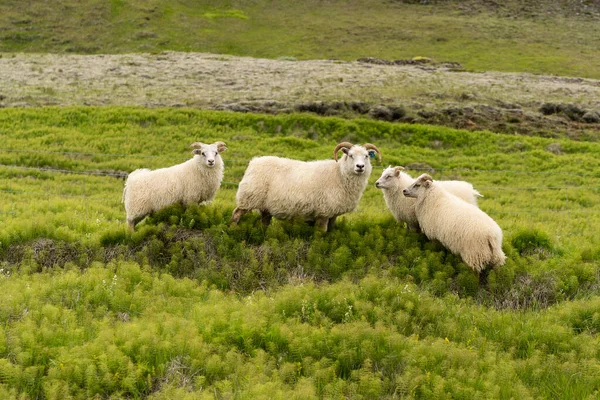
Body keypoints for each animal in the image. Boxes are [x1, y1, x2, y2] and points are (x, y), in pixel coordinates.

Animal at [230, 141, 380, 231]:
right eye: (350, 155)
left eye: (366, 156)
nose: (360, 166)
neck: (339, 174)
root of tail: (254, 162)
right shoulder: (324, 211)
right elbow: (321, 233)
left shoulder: (333, 213)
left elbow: (330, 231)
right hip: (248, 197)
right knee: (236, 213)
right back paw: (232, 230)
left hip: (265, 206)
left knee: (264, 222)